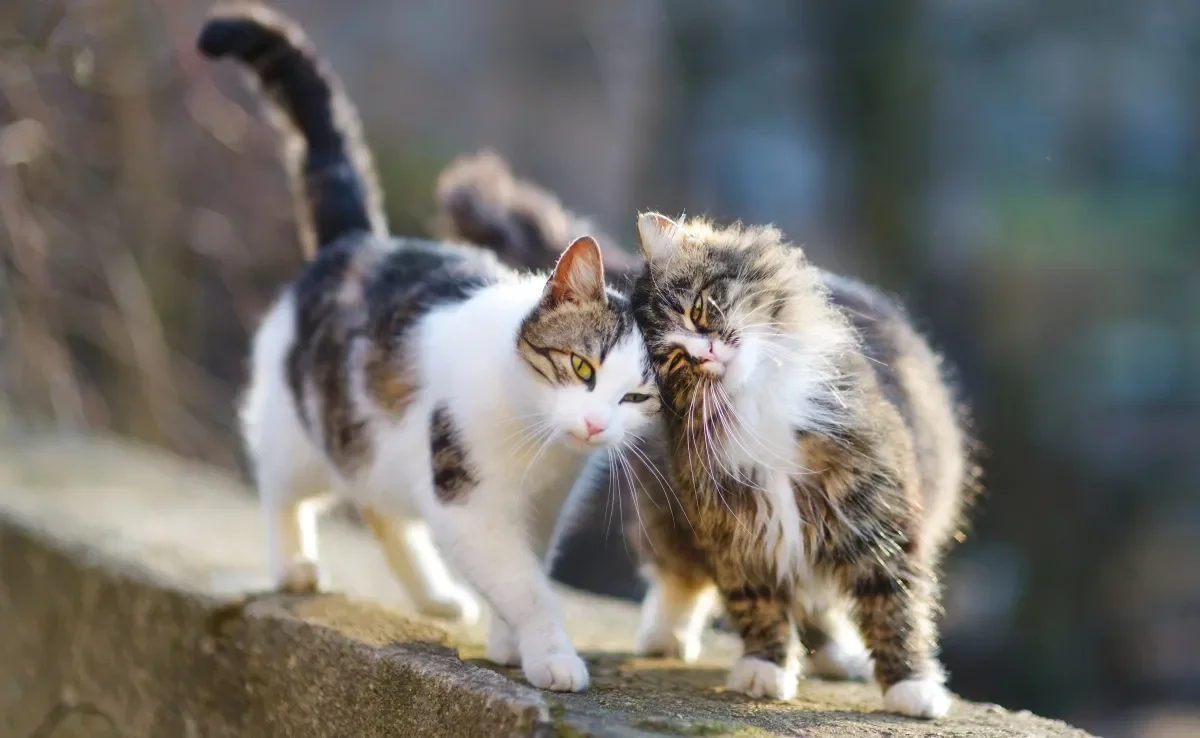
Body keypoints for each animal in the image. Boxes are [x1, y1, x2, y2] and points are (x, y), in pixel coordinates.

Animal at [200, 4, 662, 691]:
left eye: (636, 397)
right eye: (582, 366)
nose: (594, 424)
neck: (537, 446)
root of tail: (360, 241)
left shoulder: (541, 510)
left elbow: (524, 571)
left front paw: (509, 642)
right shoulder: (465, 502)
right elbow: (524, 585)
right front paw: (551, 654)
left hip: (378, 449)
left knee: (380, 509)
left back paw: (435, 596)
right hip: (300, 426)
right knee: (282, 488)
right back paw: (294, 564)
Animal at [628, 212, 974, 715]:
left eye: (697, 311)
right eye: (675, 360)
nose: (706, 352)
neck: (757, 404)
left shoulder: (873, 512)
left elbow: (894, 605)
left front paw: (912, 686)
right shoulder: (734, 528)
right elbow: (757, 604)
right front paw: (765, 668)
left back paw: (840, 656)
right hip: (666, 512)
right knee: (680, 576)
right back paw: (665, 636)